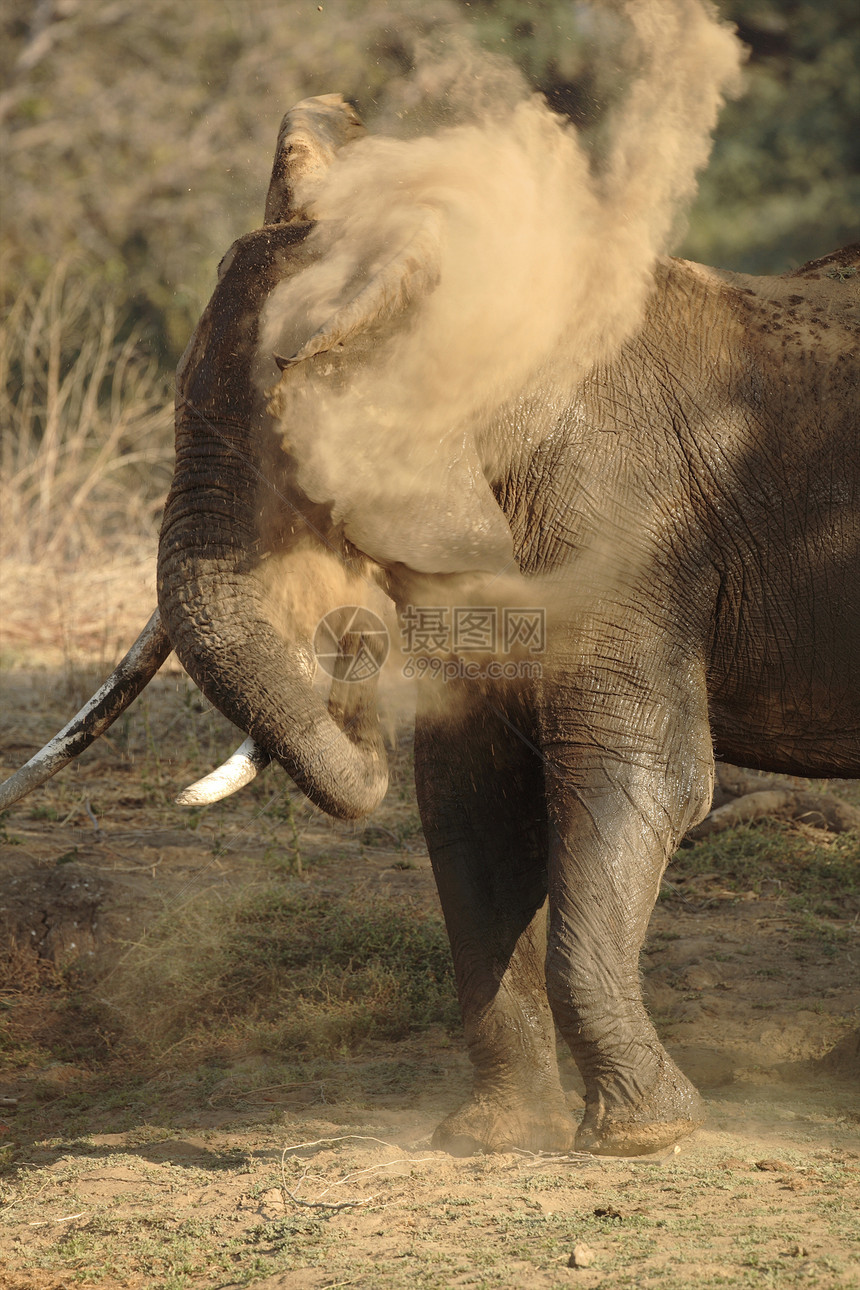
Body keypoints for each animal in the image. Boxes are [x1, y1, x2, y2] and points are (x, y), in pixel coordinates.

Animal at [3, 90, 856, 1161]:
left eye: (299, 462)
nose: (354, 638)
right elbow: (470, 792)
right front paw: (495, 1138)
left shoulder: (629, 525)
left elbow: (637, 773)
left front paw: (641, 1137)